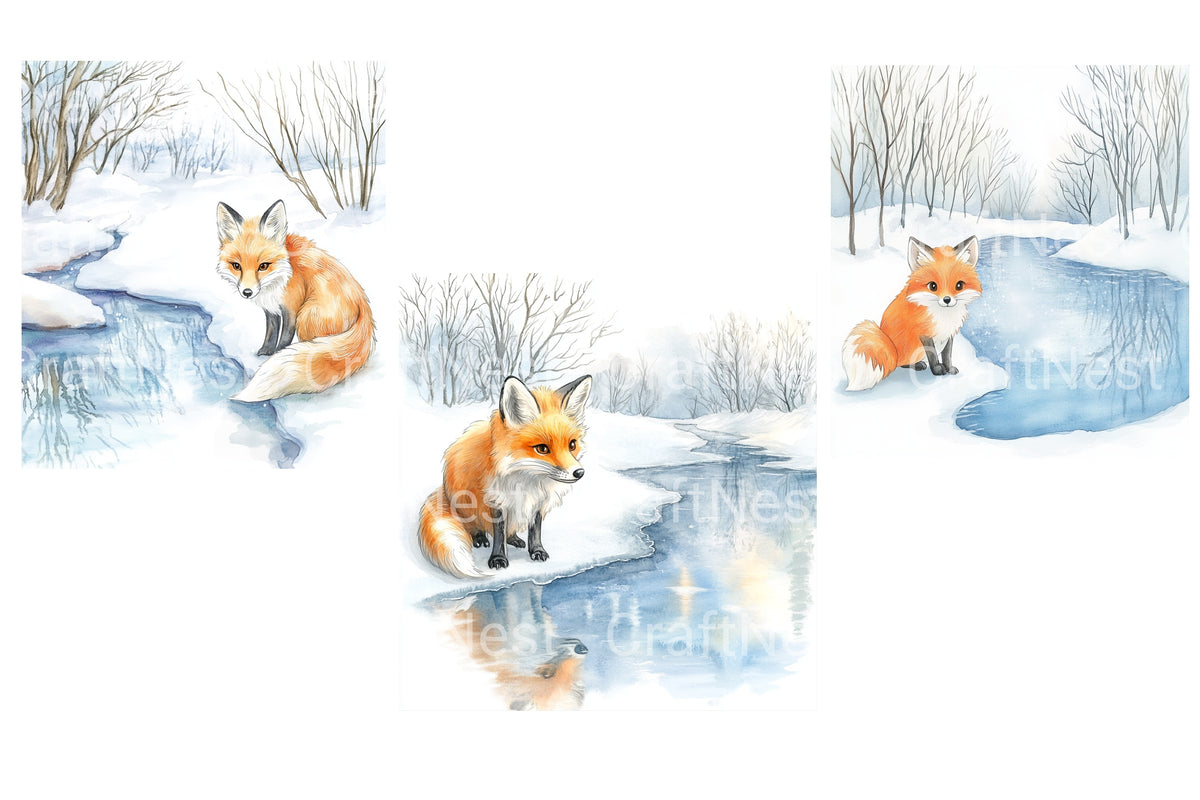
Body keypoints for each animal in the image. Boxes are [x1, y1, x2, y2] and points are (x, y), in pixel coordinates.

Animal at [215, 199, 374, 402]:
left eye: (263, 266)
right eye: (236, 266)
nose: (247, 292)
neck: (280, 278)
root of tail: (364, 306)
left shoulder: (292, 308)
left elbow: (284, 337)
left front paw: (277, 352)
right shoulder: (271, 309)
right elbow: (271, 331)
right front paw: (265, 352)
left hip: (306, 316)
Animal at [419, 374, 592, 579]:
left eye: (572, 445)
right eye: (542, 449)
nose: (579, 472)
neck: (528, 481)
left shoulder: (537, 503)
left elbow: (535, 530)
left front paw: (537, 551)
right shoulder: (496, 500)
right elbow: (499, 533)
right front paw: (498, 559)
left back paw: (515, 539)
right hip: (466, 504)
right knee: (473, 527)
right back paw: (480, 538)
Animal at [842, 235, 983, 391]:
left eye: (959, 285)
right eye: (933, 286)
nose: (947, 299)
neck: (944, 315)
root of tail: (891, 348)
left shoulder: (949, 333)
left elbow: (947, 355)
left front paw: (949, 368)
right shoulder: (924, 333)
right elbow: (933, 354)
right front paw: (937, 370)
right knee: (901, 364)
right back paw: (917, 365)